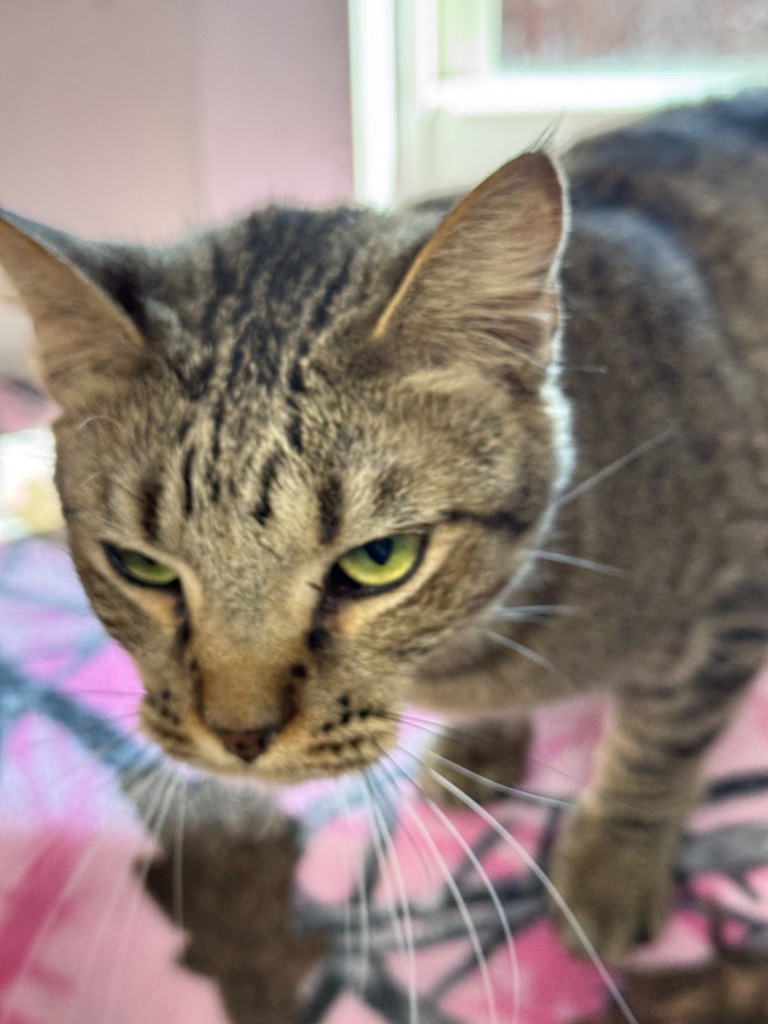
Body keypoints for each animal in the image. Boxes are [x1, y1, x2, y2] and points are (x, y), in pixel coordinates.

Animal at [1, 90, 768, 958]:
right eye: (144, 567)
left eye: (381, 559)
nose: (238, 740)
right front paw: (486, 744)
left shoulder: (731, 605)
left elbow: (657, 748)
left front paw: (613, 863)